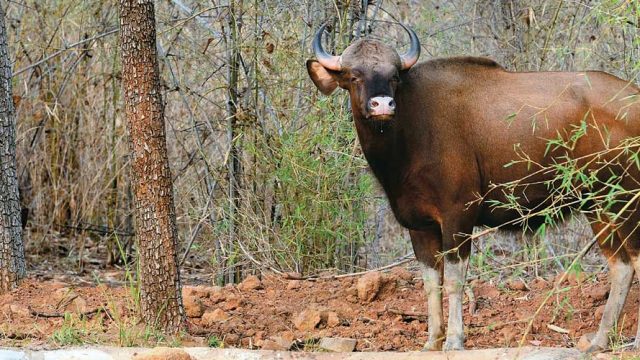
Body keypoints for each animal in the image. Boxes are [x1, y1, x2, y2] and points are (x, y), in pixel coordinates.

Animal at [304, 24, 640, 352]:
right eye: (354, 75)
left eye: (394, 76)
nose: (383, 105)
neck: (409, 135)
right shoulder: (420, 225)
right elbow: (431, 282)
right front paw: (432, 340)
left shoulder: (458, 214)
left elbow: (454, 279)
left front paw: (454, 339)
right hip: (597, 204)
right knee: (621, 267)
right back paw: (599, 341)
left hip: (624, 200)